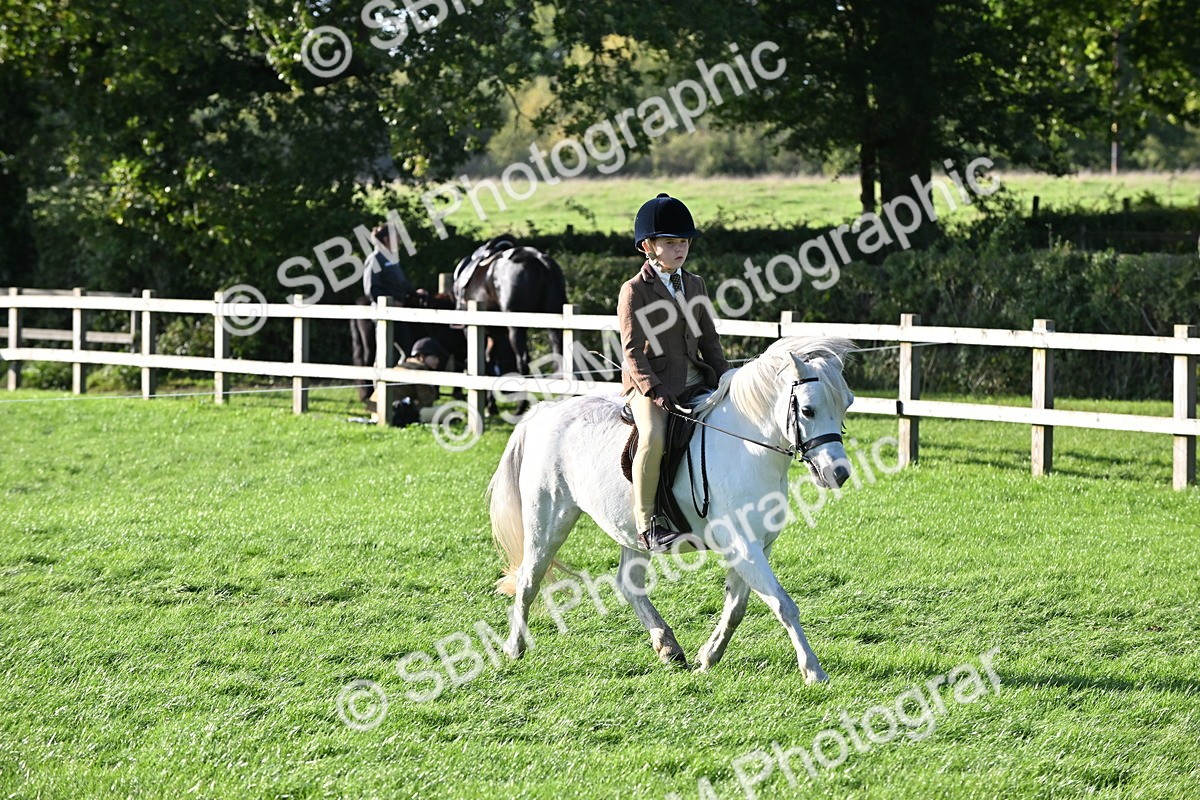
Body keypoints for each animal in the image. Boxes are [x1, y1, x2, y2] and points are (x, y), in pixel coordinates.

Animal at [452, 239, 567, 379]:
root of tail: (538, 260)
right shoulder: (494, 335)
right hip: (553, 322)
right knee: (558, 353)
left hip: (515, 328)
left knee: (523, 360)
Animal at [486, 336, 855, 684]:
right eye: (807, 410)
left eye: (846, 405)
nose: (838, 473)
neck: (746, 448)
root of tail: (545, 411)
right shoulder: (742, 545)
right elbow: (783, 604)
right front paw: (813, 670)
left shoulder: (755, 545)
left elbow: (737, 606)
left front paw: (708, 656)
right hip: (548, 521)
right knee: (529, 579)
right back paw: (514, 647)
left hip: (631, 531)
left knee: (628, 582)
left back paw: (668, 646)